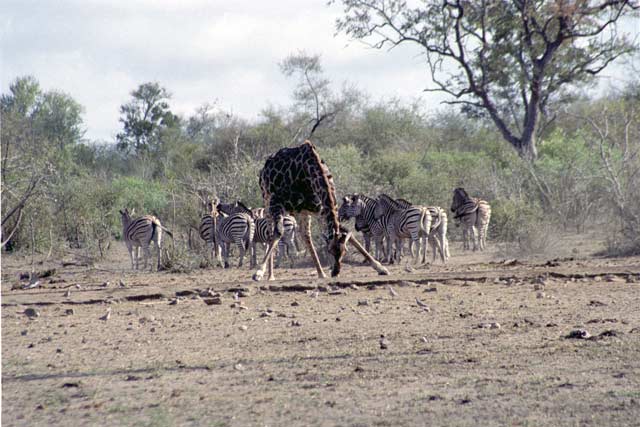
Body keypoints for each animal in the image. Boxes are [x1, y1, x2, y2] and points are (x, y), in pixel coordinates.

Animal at [252, 140, 388, 281]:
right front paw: (258, 272)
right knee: (271, 233)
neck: (307, 172)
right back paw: (270, 275)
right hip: (267, 200)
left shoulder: (320, 209)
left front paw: (380, 268)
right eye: (329, 251)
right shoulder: (276, 202)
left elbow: (347, 232)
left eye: (344, 251)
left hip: (301, 211)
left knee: (306, 235)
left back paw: (321, 273)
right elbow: (278, 233)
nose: (335, 272)